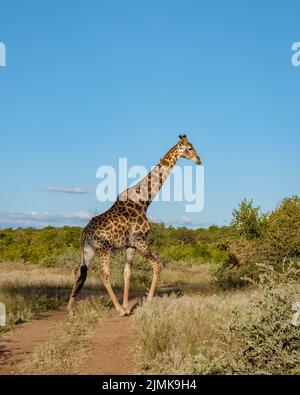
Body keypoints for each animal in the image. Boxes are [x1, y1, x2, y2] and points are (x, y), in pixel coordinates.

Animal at [68, 135, 202, 318]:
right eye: (189, 148)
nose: (199, 160)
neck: (143, 201)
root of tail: (84, 233)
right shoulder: (140, 240)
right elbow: (157, 265)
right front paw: (148, 302)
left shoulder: (130, 245)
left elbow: (127, 272)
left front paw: (127, 305)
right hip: (104, 248)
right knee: (105, 274)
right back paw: (118, 310)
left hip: (89, 250)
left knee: (78, 270)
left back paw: (70, 309)